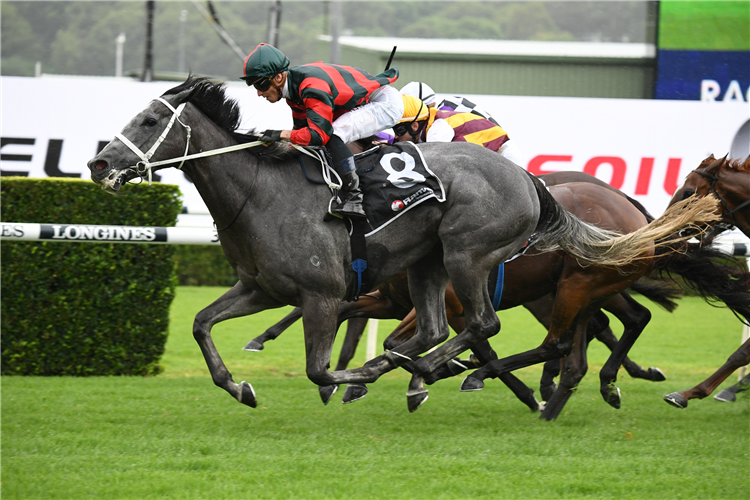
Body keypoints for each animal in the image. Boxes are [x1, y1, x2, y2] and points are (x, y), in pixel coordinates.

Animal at [85, 75, 720, 410]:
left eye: (148, 121)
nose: (98, 164)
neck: (262, 192)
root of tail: (531, 181)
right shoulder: (262, 288)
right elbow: (201, 324)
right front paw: (238, 385)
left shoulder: (322, 295)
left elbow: (320, 369)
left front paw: (356, 379)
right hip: (434, 266)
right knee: (466, 329)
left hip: (471, 257)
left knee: (491, 326)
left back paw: (443, 371)